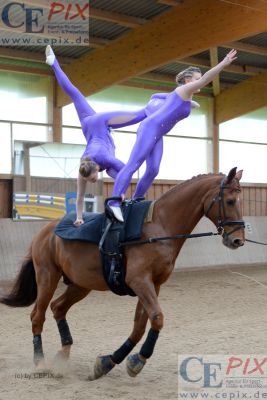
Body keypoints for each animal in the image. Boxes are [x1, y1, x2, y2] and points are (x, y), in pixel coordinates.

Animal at [0, 167, 246, 380]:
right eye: (229, 201)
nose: (238, 240)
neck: (158, 227)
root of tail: (45, 231)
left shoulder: (153, 285)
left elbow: (140, 326)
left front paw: (109, 362)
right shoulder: (139, 281)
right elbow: (157, 318)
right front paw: (136, 360)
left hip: (81, 285)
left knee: (58, 307)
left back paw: (63, 354)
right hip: (48, 278)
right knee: (37, 316)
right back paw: (40, 363)